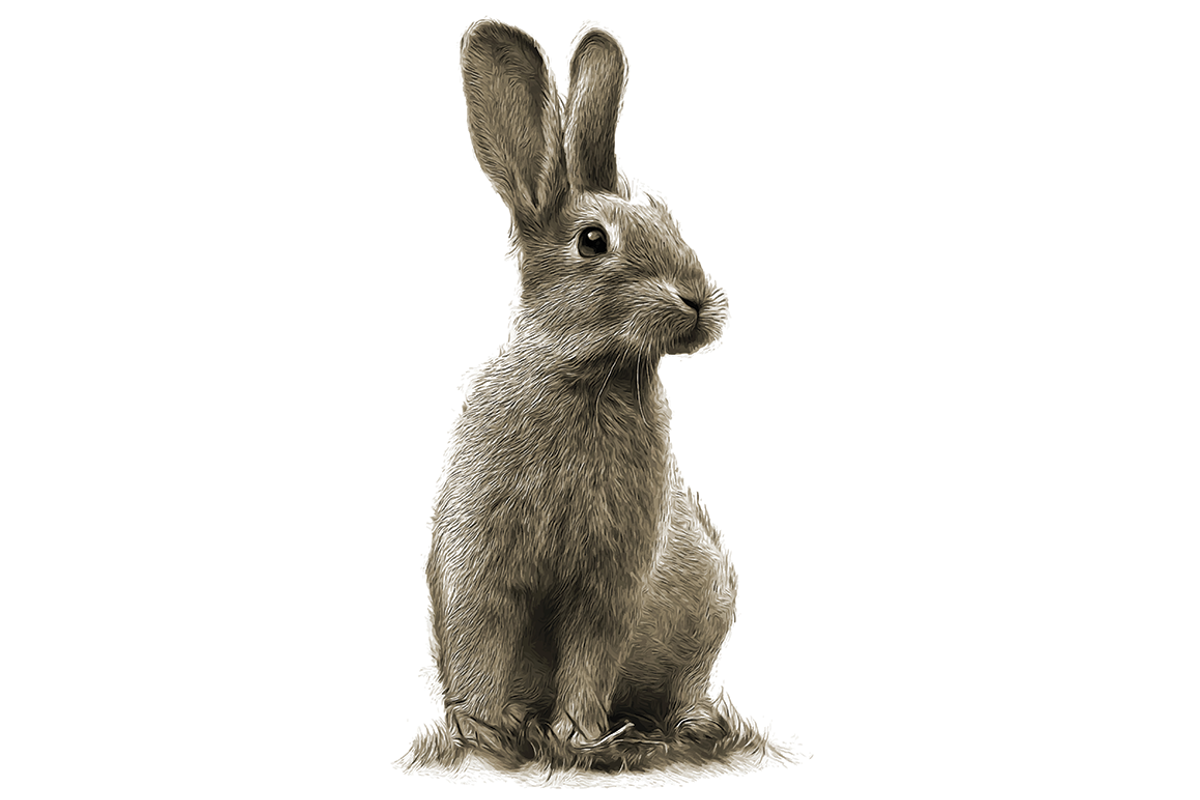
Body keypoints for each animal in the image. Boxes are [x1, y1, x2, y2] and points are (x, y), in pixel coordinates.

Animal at [413, 20, 761, 771]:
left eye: (668, 218)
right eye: (593, 240)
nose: (698, 301)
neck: (588, 376)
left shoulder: (611, 583)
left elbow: (590, 654)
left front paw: (574, 737)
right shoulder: (480, 564)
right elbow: (481, 641)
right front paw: (483, 737)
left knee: (685, 686)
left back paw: (690, 726)